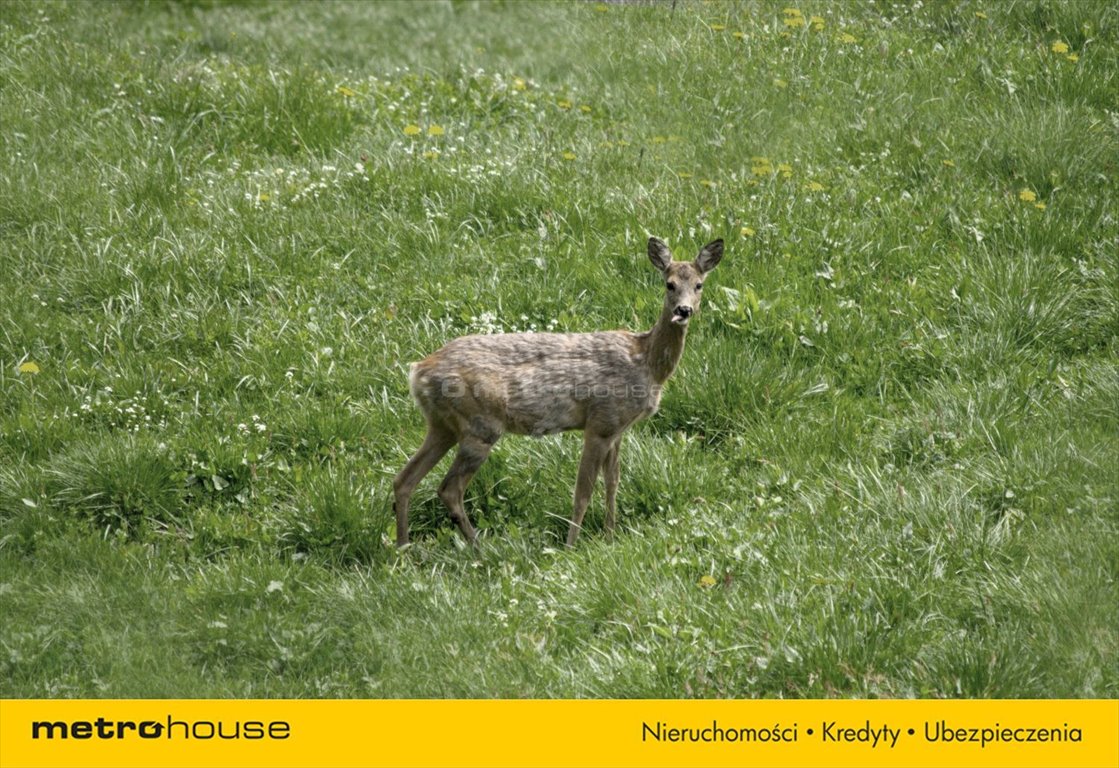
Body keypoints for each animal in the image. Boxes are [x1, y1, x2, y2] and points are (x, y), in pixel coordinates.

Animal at [393, 239, 725, 548]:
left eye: (699, 285)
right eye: (669, 284)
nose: (684, 310)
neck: (645, 362)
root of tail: (417, 372)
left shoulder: (618, 429)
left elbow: (613, 482)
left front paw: (610, 536)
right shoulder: (601, 423)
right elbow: (583, 491)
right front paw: (571, 546)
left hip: (443, 425)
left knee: (404, 479)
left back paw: (404, 547)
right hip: (479, 425)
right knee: (449, 489)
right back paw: (478, 548)